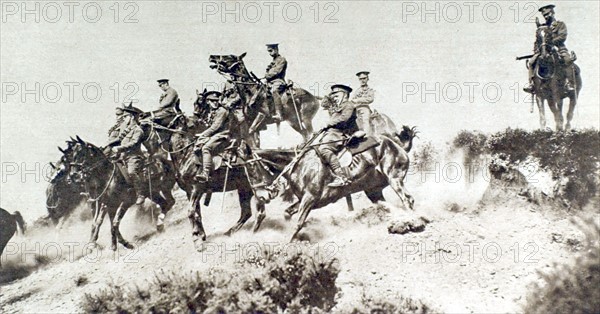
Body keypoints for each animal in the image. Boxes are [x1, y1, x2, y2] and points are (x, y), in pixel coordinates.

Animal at [239, 126, 418, 239]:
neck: (299, 164)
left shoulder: (310, 199)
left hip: (394, 179)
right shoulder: (306, 200)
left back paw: (412, 221)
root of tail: (396, 145)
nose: (261, 196)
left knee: (407, 200)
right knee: (387, 205)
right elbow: (288, 214)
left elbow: (298, 223)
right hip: (373, 191)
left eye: (252, 167)